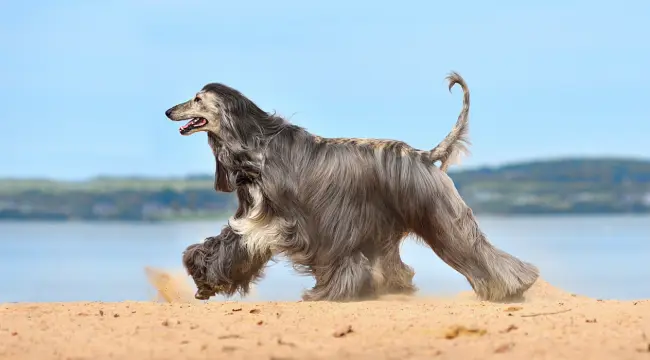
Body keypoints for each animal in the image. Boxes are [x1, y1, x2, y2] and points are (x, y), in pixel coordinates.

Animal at [166, 71, 536, 302]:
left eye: (197, 99)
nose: (169, 110)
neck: (256, 147)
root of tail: (423, 155)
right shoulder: (257, 218)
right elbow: (228, 242)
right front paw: (203, 278)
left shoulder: (293, 222)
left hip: (439, 215)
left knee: (474, 248)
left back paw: (514, 287)